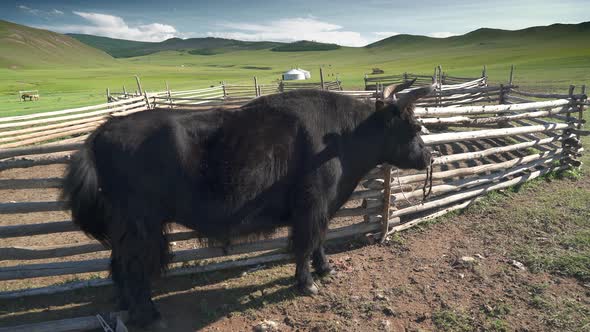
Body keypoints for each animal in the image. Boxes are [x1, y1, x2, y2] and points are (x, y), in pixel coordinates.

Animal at [62, 80, 438, 324]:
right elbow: (306, 242)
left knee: (118, 263)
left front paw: (326, 269)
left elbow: (319, 239)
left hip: (126, 226)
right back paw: (146, 314)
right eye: (413, 126)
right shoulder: (312, 204)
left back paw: (127, 305)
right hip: (140, 224)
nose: (429, 157)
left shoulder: (322, 208)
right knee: (133, 264)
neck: (343, 138)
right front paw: (307, 284)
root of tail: (102, 132)